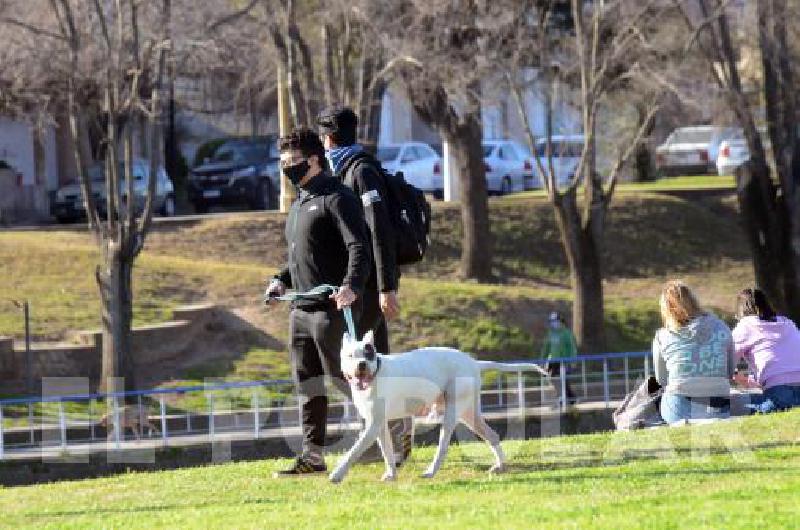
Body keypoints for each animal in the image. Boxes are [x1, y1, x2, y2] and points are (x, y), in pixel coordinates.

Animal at [328, 330, 548, 482]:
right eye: (350, 355)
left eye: (369, 353)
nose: (362, 365)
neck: (375, 376)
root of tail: (473, 362)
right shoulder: (379, 425)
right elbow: (387, 452)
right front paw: (391, 474)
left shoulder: (373, 427)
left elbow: (353, 451)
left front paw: (337, 474)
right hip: (470, 413)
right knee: (492, 435)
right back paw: (500, 466)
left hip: (453, 412)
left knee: (443, 446)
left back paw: (431, 471)